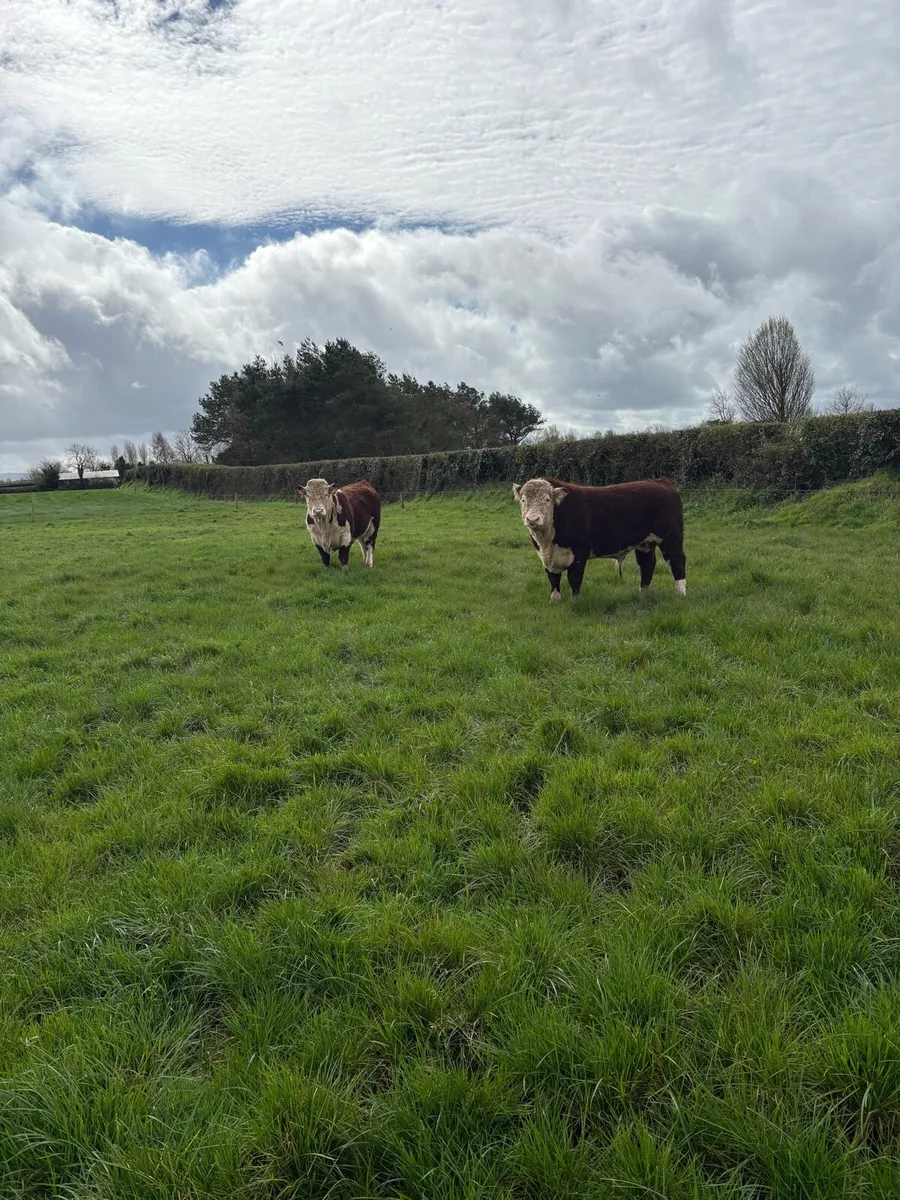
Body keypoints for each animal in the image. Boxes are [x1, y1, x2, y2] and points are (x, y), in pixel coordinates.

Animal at [513, 476, 686, 602]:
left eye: (547, 500)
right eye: (523, 500)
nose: (533, 519)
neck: (548, 542)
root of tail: (660, 481)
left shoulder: (579, 553)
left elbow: (574, 578)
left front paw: (576, 601)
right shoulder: (547, 558)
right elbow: (553, 579)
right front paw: (555, 601)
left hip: (671, 538)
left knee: (677, 561)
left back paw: (680, 593)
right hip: (645, 543)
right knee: (647, 565)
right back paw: (643, 593)